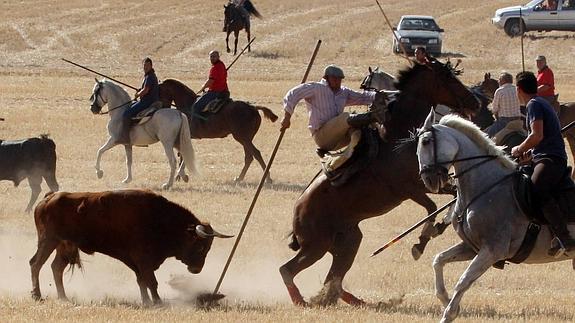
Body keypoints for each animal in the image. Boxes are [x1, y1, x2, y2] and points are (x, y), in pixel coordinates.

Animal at [29, 189, 232, 306]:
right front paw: (157, 302)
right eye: (200, 246)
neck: (159, 219)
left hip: (64, 246)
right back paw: (37, 295)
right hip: (48, 241)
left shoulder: (137, 262)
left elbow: (142, 281)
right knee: (35, 264)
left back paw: (63, 297)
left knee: (56, 267)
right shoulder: (143, 259)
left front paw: (146, 301)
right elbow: (151, 281)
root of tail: (48, 199)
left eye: (208, 247)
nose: (196, 269)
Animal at [280, 61, 482, 308]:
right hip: (316, 246)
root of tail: (297, 212)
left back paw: (352, 301)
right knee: (288, 270)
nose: (476, 103)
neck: (398, 139)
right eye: (448, 78)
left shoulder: (432, 182)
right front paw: (421, 241)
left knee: (334, 277)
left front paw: (438, 228)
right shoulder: (412, 188)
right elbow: (432, 207)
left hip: (347, 242)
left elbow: (453, 197)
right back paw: (302, 301)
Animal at [416, 110, 575, 322]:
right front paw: (445, 299)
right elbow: (438, 260)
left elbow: (464, 280)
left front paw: (449, 313)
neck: (486, 186)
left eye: (426, 141)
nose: (428, 180)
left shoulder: (493, 250)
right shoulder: (472, 247)